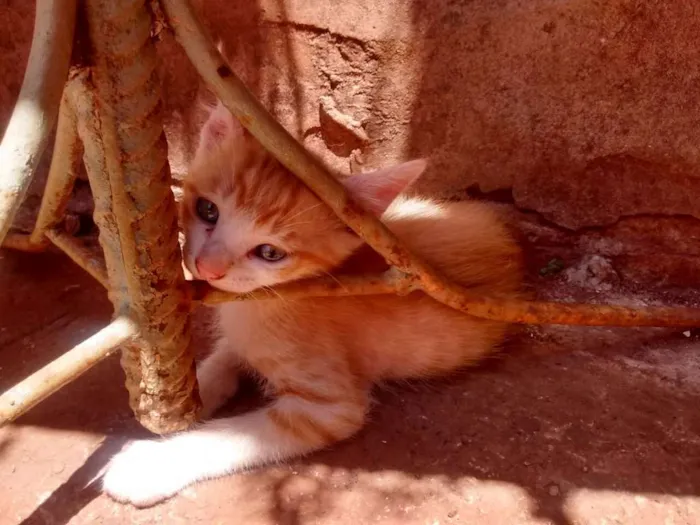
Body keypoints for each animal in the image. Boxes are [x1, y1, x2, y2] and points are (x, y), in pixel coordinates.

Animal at [102, 100, 520, 506]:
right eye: (208, 210)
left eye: (270, 253)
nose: (208, 268)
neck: (265, 301)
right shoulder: (238, 340)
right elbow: (218, 365)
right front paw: (176, 405)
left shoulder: (329, 408)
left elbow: (236, 435)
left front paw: (152, 464)